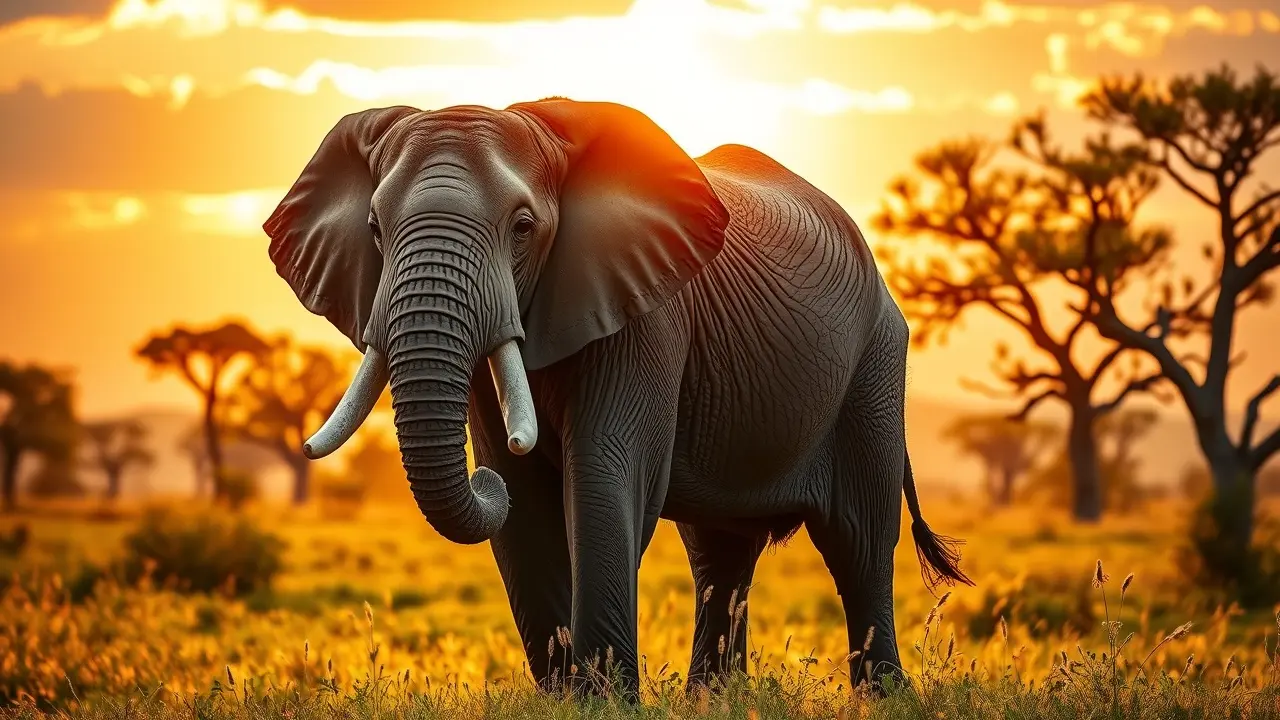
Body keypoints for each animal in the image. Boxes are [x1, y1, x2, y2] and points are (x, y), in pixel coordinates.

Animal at [262, 98, 973, 698]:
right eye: (375, 229)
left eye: (524, 227)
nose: (481, 483)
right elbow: (523, 499)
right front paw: (563, 697)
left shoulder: (649, 318)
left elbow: (607, 475)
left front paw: (603, 699)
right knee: (720, 553)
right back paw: (714, 700)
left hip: (873, 367)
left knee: (858, 539)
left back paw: (883, 697)